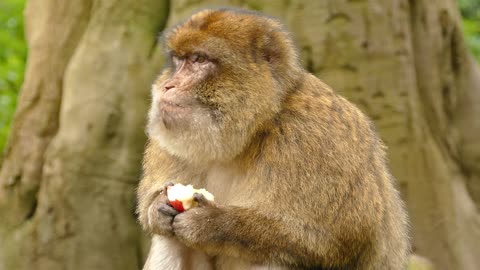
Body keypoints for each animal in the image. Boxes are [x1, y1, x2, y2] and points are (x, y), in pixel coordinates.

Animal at [137, 7, 410, 268]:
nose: (168, 86)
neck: (253, 131)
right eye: (178, 60)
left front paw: (212, 223)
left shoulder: (316, 138)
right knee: (170, 239)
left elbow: (337, 239)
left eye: (199, 59)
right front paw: (157, 208)